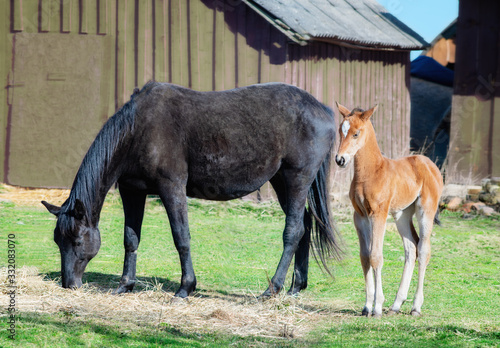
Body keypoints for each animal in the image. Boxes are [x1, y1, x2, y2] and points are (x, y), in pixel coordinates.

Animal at [43, 81, 342, 296]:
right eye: (58, 241)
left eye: (77, 241)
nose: (69, 284)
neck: (138, 129)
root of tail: (323, 110)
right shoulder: (132, 191)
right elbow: (131, 239)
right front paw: (125, 285)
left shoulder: (171, 187)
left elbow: (181, 237)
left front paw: (186, 287)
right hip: (281, 182)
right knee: (305, 225)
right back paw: (295, 287)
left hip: (296, 179)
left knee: (293, 231)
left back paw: (273, 288)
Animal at [336, 102, 442, 316]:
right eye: (340, 131)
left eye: (356, 133)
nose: (340, 159)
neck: (371, 172)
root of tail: (431, 165)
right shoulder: (360, 216)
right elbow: (365, 257)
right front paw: (367, 306)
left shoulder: (379, 214)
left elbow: (376, 256)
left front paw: (377, 307)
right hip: (401, 214)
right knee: (411, 248)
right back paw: (396, 304)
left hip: (425, 210)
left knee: (423, 250)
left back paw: (415, 306)